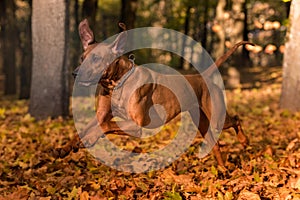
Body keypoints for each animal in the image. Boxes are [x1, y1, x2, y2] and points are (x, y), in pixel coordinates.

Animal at [55, 19, 250, 166]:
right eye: (82, 58)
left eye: (96, 58)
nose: (74, 74)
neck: (119, 83)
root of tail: (203, 76)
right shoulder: (102, 114)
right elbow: (86, 128)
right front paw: (66, 147)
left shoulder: (136, 125)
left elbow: (105, 126)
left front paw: (88, 139)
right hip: (200, 121)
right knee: (215, 144)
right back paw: (223, 169)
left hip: (217, 117)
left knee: (236, 119)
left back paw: (244, 141)